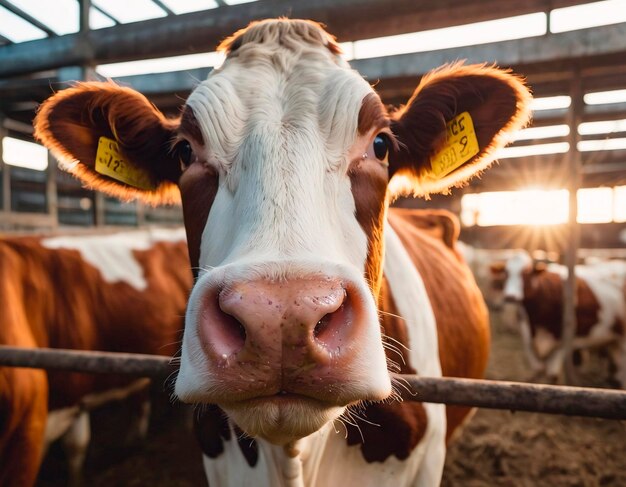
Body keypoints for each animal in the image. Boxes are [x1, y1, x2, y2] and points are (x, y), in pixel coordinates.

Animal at [492, 250, 624, 386]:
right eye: (506, 273)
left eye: (526, 273)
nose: (510, 296)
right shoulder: (527, 337)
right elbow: (538, 367)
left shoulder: (563, 339)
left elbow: (552, 374)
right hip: (612, 340)